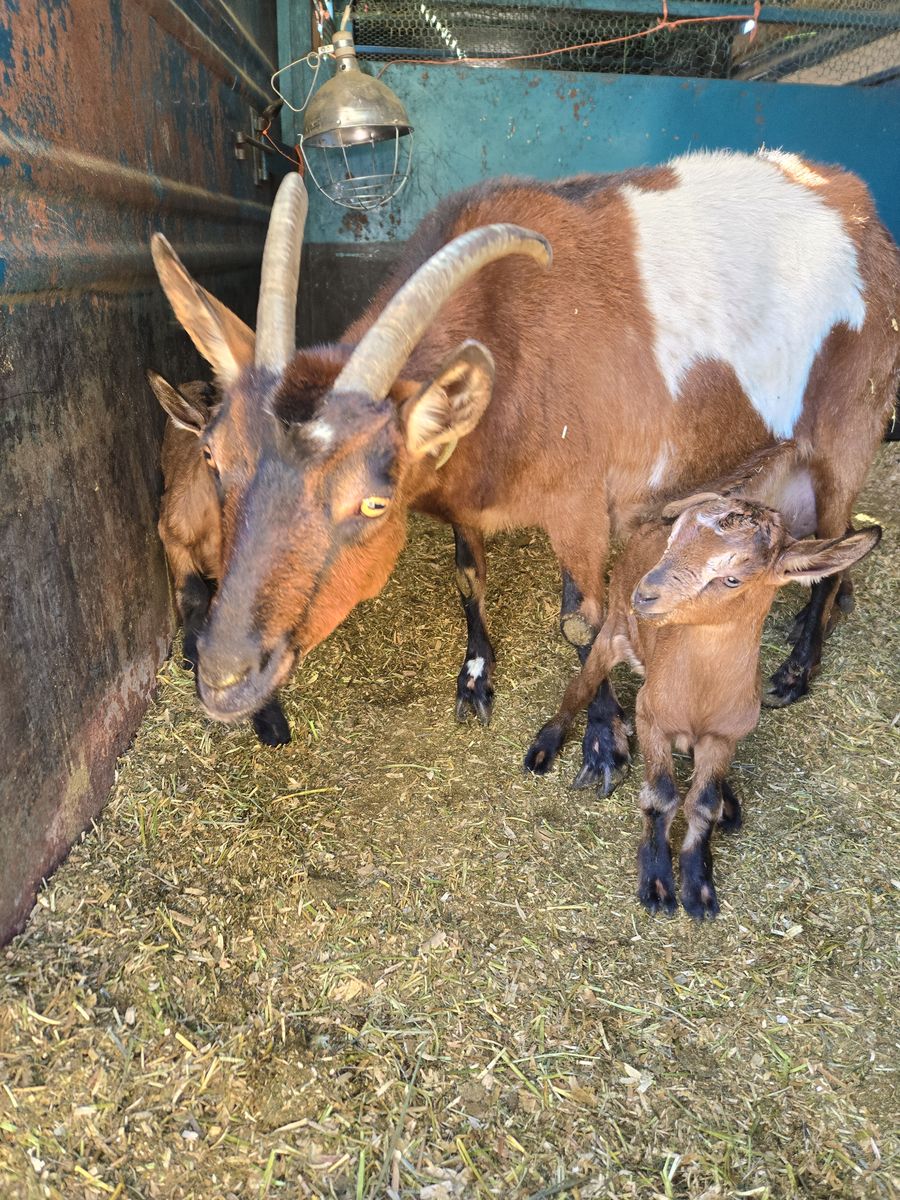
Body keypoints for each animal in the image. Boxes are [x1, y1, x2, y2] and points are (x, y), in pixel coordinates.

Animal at [530, 475, 881, 917]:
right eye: (674, 540)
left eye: (732, 578)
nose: (646, 594)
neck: (699, 696)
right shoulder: (651, 716)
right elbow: (661, 796)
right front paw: (658, 884)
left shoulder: (724, 736)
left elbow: (703, 802)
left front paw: (698, 886)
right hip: (612, 634)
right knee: (579, 687)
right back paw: (544, 746)